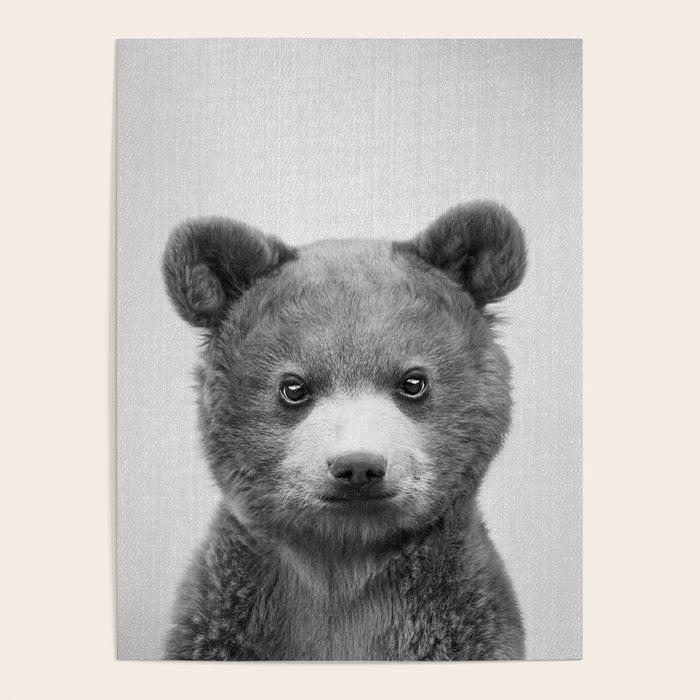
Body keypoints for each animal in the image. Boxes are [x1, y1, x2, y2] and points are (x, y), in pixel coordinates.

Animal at [161, 200, 527, 661]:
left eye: (413, 381)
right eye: (294, 387)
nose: (358, 466)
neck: (344, 560)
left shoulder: (462, 620)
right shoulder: (226, 618)